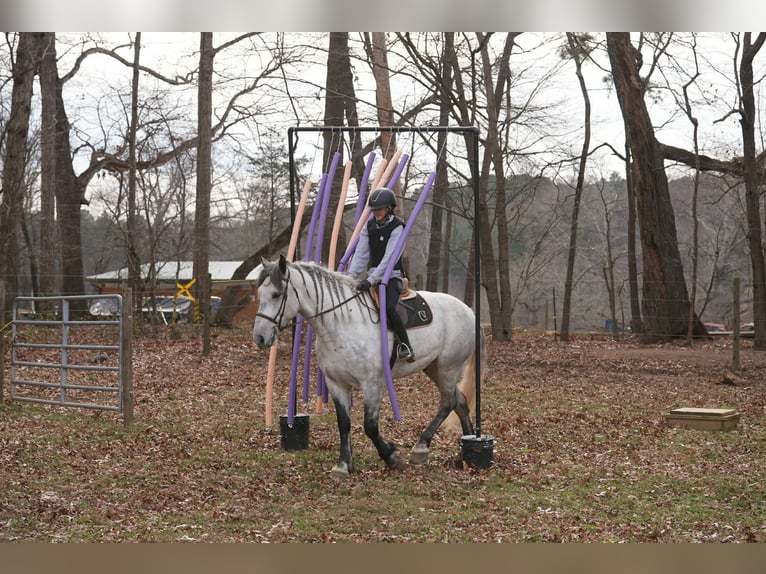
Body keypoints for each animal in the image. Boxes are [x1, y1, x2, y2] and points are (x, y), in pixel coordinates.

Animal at [252, 254, 486, 478]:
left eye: (276, 294)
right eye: (260, 294)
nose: (260, 337)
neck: (342, 323)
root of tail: (469, 311)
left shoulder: (372, 383)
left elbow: (370, 426)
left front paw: (392, 457)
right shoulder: (336, 383)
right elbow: (344, 423)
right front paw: (344, 465)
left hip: (448, 367)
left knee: (448, 402)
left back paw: (421, 447)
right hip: (433, 368)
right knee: (460, 401)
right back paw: (466, 446)